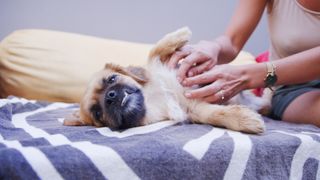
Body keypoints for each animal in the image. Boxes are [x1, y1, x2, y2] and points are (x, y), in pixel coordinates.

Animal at [63, 26, 268, 134]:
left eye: (112, 79)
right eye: (98, 113)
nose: (110, 97)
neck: (154, 98)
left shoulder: (167, 66)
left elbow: (155, 51)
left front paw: (180, 35)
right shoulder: (193, 109)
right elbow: (215, 114)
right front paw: (246, 120)